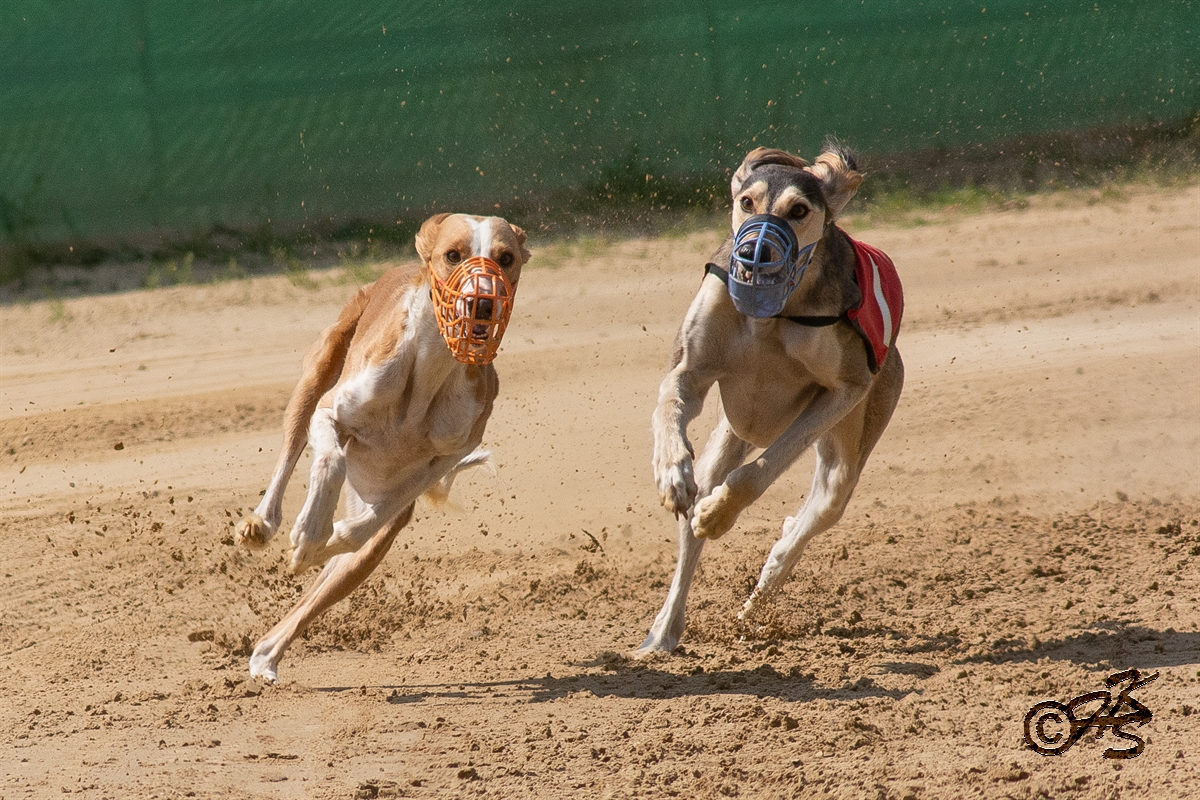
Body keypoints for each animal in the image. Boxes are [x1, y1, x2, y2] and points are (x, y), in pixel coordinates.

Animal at [234, 212, 530, 682]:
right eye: (453, 255)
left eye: (506, 258)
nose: (483, 304)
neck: (428, 374)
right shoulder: (331, 413)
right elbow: (330, 459)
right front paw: (309, 530)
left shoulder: (441, 460)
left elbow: (361, 527)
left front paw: (322, 540)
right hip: (319, 368)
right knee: (291, 452)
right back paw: (264, 524)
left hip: (370, 543)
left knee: (326, 583)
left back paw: (267, 655)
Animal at [637, 142, 904, 654]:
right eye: (746, 202)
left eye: (798, 211)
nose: (751, 252)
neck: (770, 314)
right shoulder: (690, 371)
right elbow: (670, 403)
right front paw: (671, 473)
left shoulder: (845, 391)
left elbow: (758, 472)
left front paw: (719, 515)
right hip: (730, 435)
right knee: (700, 512)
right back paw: (665, 630)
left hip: (851, 443)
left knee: (813, 514)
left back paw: (762, 581)